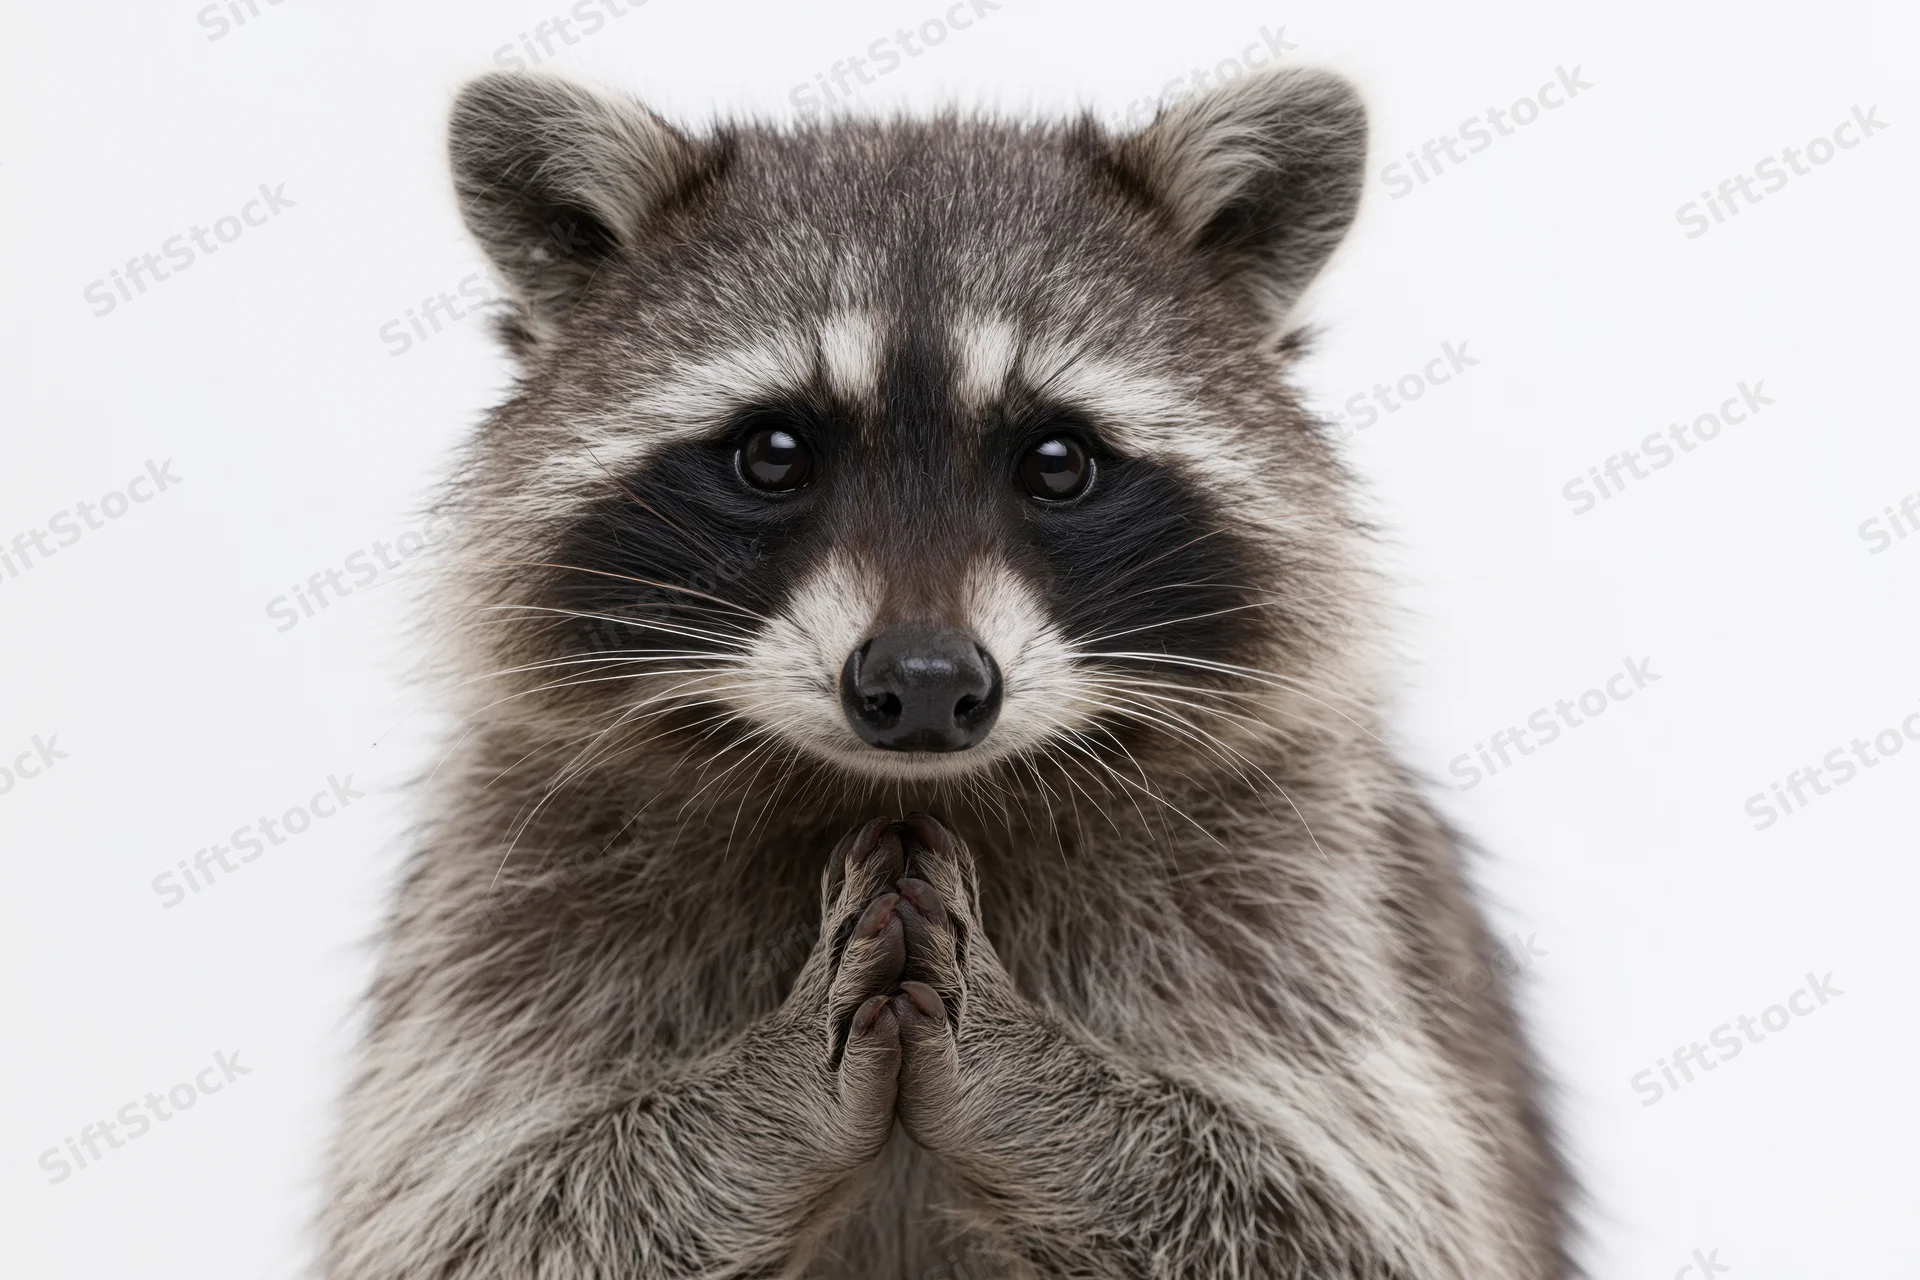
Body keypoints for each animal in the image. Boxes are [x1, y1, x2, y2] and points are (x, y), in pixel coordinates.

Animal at [320, 64, 1575, 1279]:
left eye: (1058, 461)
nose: (924, 681)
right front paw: (766, 1090)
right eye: (772, 452)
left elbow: (1354, 1219)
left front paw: (1035, 1077)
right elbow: (470, 1215)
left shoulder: (1309, 895)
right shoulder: (509, 886)